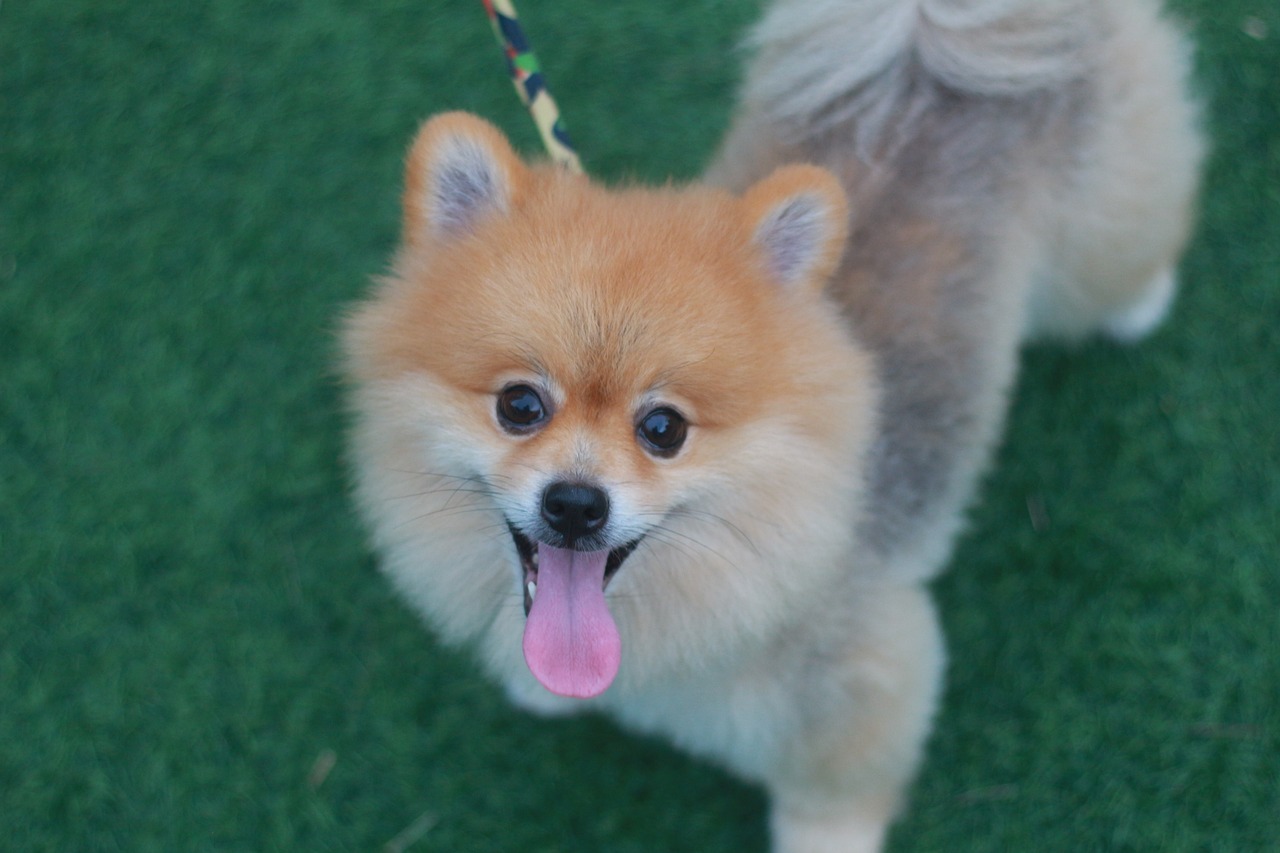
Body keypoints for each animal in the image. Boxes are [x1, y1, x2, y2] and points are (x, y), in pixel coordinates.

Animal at [340, 0, 1198, 845]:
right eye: (519, 405)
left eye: (664, 428)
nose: (575, 504)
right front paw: (545, 688)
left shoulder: (855, 670)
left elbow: (832, 790)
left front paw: (828, 838)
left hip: (1108, 219)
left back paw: (1144, 304)